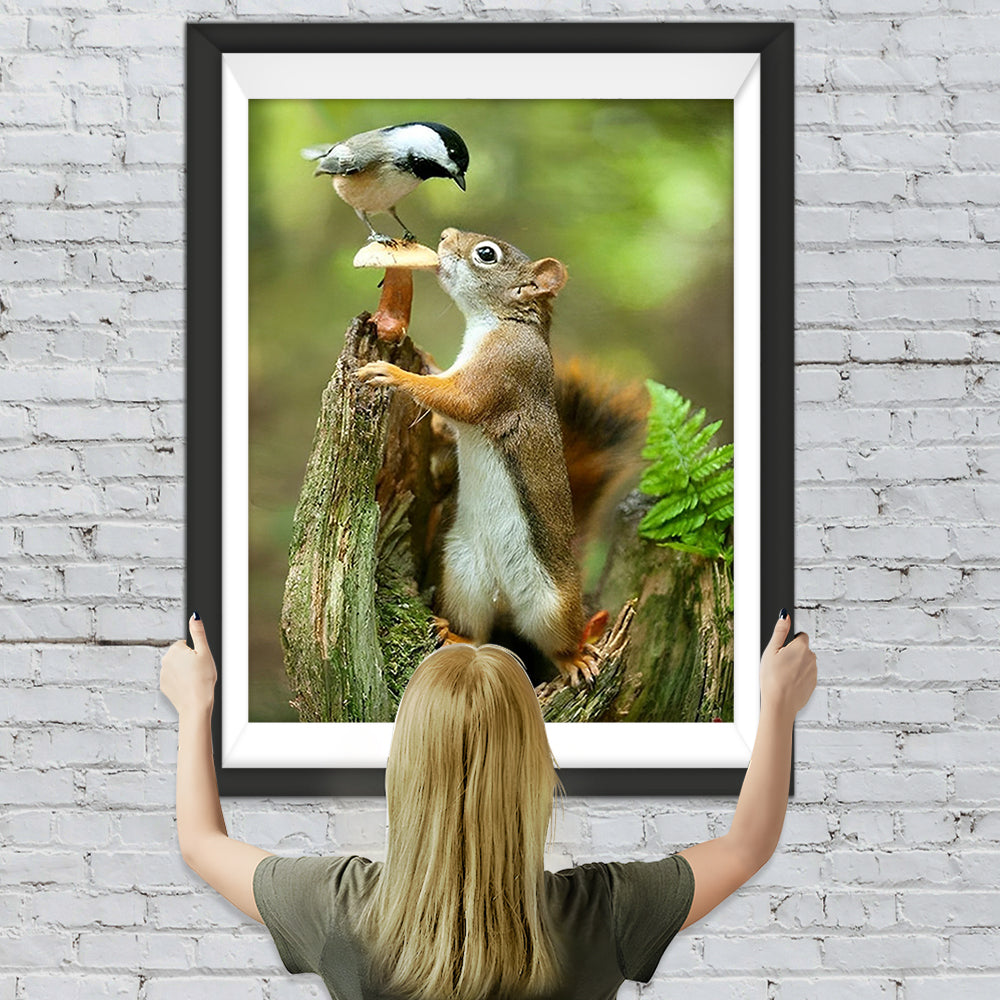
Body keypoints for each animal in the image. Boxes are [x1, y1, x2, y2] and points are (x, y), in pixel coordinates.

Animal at [357, 228, 645, 687]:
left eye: (486, 254)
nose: (445, 236)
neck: (501, 322)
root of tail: (505, 600)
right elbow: (445, 404)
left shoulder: (503, 372)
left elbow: (457, 400)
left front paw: (393, 373)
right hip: (462, 577)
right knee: (477, 634)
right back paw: (453, 633)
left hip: (553, 605)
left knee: (557, 642)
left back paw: (576, 659)